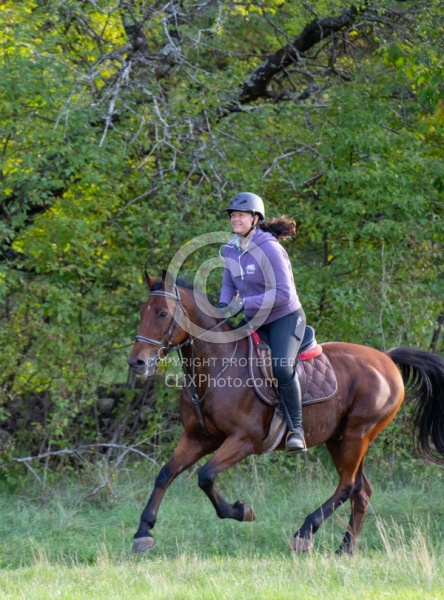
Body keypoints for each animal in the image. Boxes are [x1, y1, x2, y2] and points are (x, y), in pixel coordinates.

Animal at [126, 272, 444, 552]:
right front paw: (143, 532)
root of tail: (386, 359)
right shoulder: (198, 438)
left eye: (163, 314)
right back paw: (346, 548)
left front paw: (241, 510)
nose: (137, 363)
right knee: (361, 491)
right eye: (142, 312)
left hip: (358, 434)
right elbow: (165, 474)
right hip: (339, 438)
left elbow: (205, 476)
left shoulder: (245, 440)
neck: (216, 366)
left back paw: (305, 533)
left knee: (347, 486)